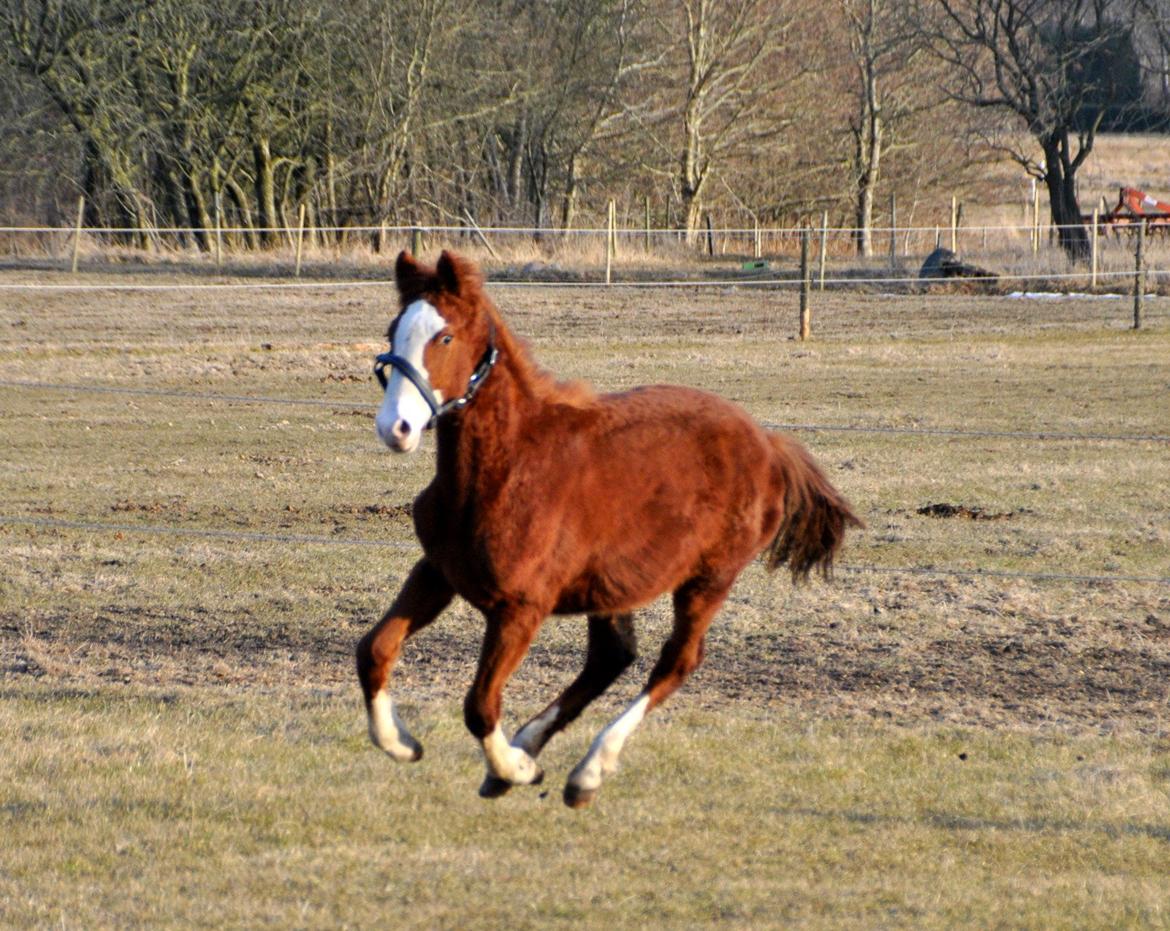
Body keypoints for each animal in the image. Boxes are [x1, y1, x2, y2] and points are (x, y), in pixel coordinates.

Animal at [353, 252, 861, 809]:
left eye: (443, 337)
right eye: (394, 330)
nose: (395, 428)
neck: (506, 468)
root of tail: (768, 442)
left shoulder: (520, 608)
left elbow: (480, 705)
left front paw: (514, 770)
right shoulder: (437, 573)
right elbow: (373, 651)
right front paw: (402, 745)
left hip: (709, 579)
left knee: (676, 662)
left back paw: (586, 772)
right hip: (613, 584)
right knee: (611, 657)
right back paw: (533, 746)